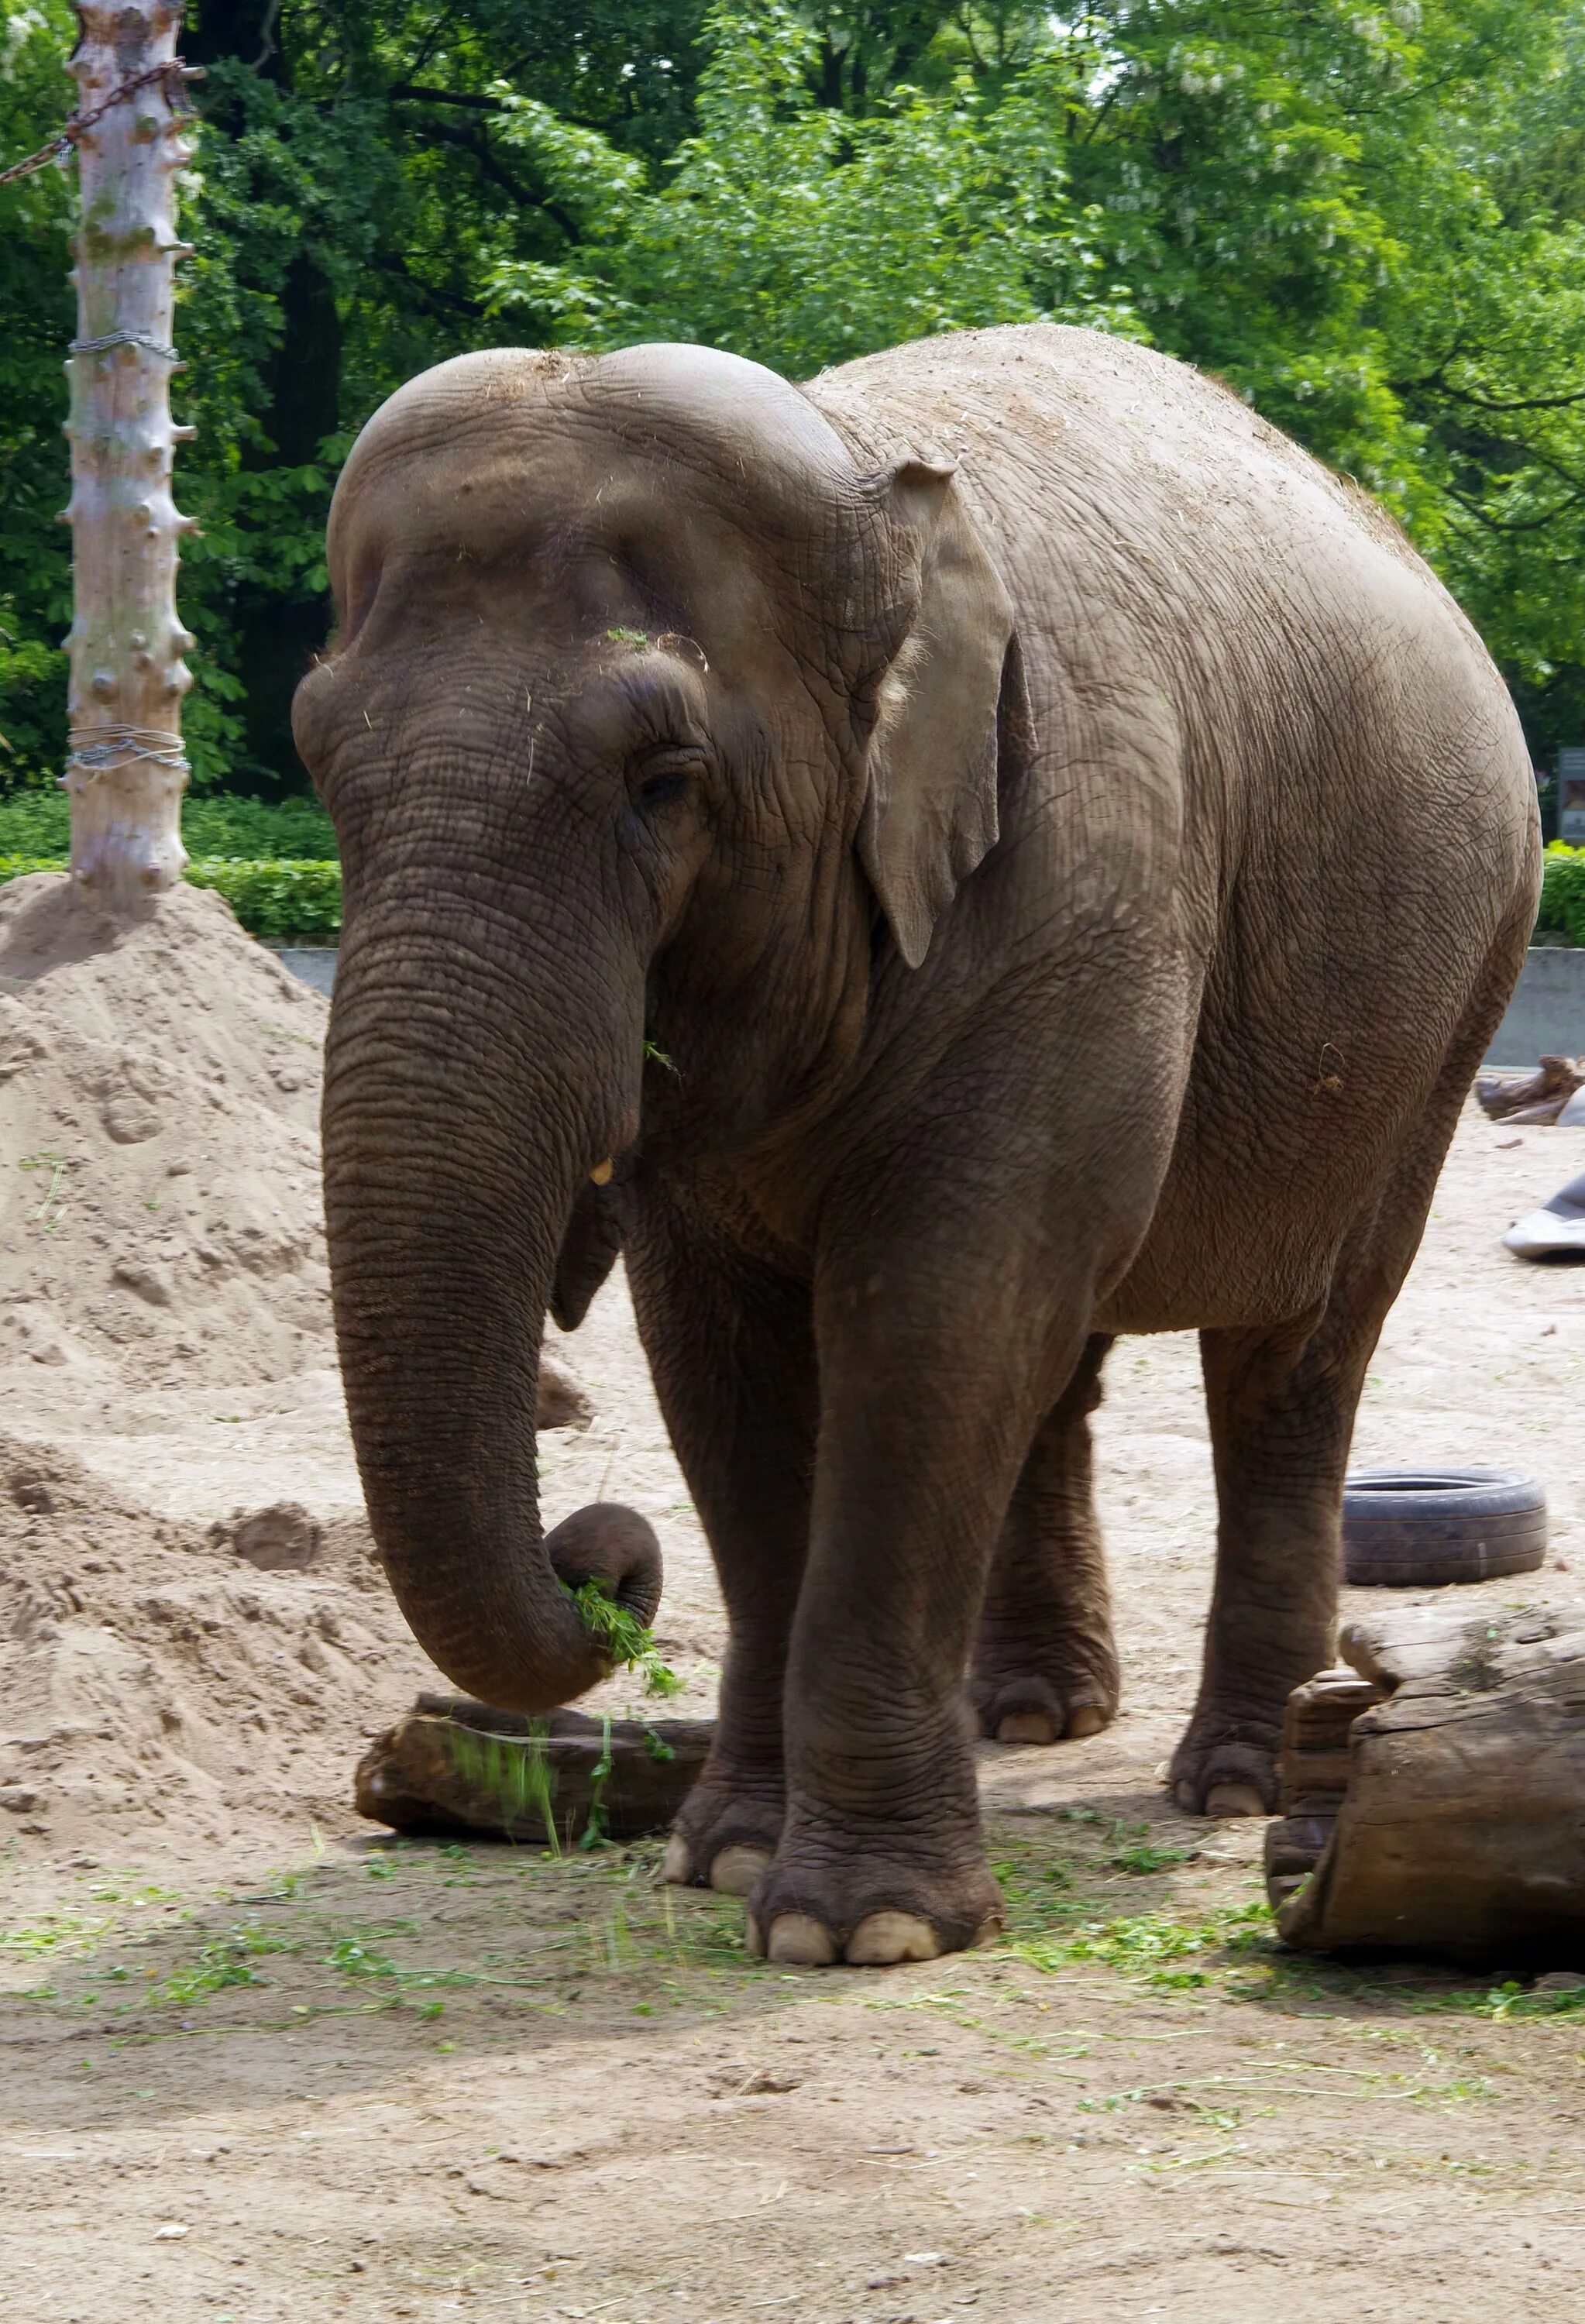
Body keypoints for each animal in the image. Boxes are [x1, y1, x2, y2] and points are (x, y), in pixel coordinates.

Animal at [291, 323, 1534, 1961]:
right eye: (318, 766)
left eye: (662, 781)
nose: (601, 1551)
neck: (867, 483)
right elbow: (728, 1363)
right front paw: (725, 1861)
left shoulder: (1079, 885)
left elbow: (934, 1319)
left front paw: (857, 1929)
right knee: (1064, 1353)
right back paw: (1033, 1716)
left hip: (1451, 1000)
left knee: (1292, 1358)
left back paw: (1246, 1781)